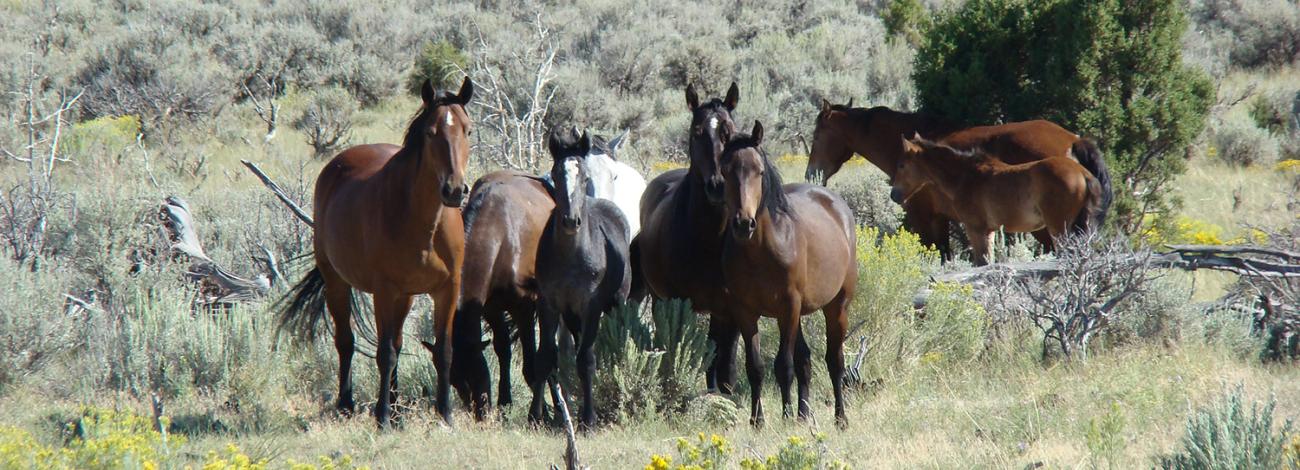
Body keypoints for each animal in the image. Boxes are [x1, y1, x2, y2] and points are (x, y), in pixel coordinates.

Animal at [277, 77, 473, 428]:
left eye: (468, 130)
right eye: (430, 132)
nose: (455, 190)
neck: (425, 223)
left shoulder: (447, 289)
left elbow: (443, 351)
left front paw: (445, 414)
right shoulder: (384, 290)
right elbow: (385, 353)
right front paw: (381, 419)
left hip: (405, 297)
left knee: (394, 339)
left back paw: (395, 407)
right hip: (337, 282)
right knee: (346, 342)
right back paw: (348, 404)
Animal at [534, 128, 632, 429]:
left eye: (584, 177)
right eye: (555, 174)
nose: (570, 221)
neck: (571, 256)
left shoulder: (591, 307)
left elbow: (587, 359)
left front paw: (589, 418)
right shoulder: (549, 304)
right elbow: (546, 356)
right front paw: (536, 415)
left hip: (616, 305)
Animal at [634, 82, 744, 394]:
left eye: (730, 131)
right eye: (697, 131)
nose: (717, 186)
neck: (708, 239)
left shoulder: (730, 308)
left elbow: (725, 364)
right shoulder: (679, 302)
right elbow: (680, 348)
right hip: (659, 298)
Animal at [719, 120, 857, 428]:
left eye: (759, 171)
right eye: (725, 170)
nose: (743, 223)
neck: (761, 250)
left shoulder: (788, 306)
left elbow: (783, 365)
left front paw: (784, 417)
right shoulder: (745, 311)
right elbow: (755, 367)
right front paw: (757, 421)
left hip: (836, 306)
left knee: (835, 361)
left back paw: (840, 418)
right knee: (805, 360)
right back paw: (804, 415)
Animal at [890, 133, 1108, 265]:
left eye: (901, 165)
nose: (894, 195)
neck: (966, 176)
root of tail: (1083, 173)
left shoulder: (976, 229)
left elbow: (982, 262)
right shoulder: (990, 231)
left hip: (1059, 228)